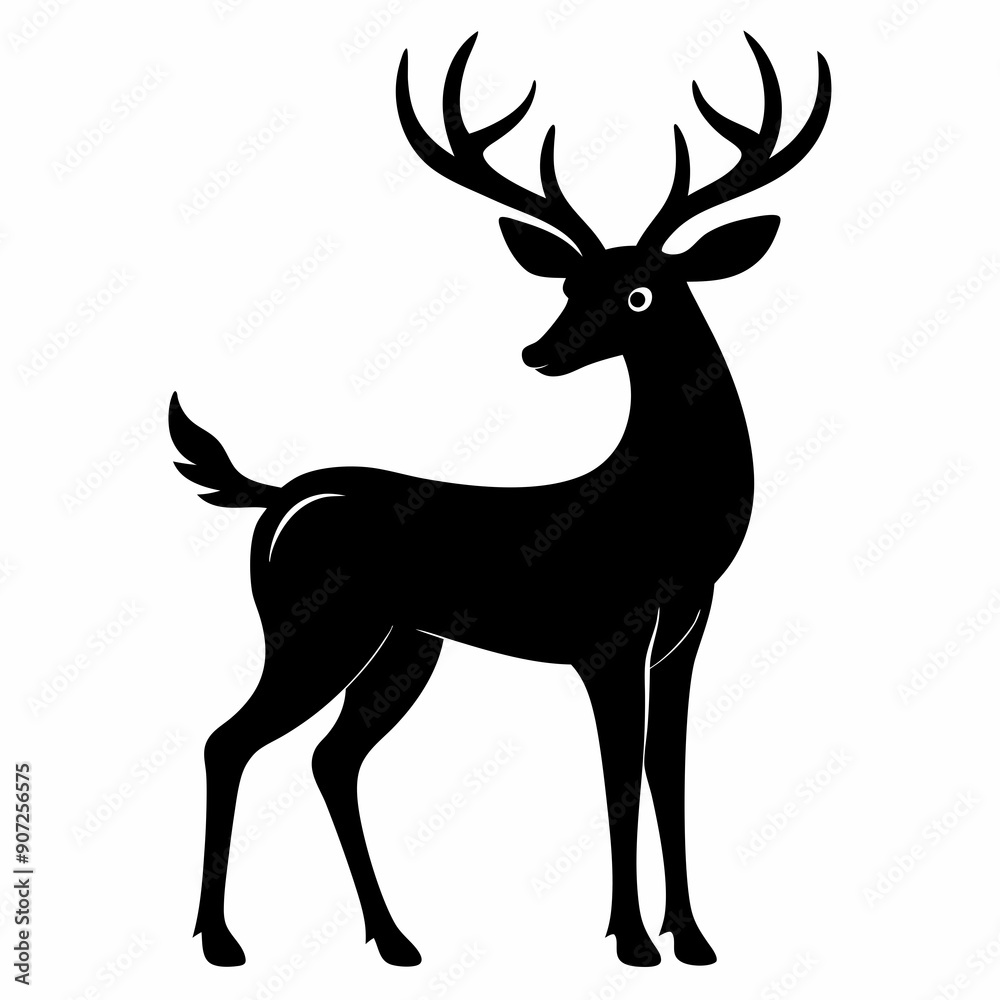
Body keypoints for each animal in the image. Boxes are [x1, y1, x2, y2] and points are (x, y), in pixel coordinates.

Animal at [171, 31, 830, 970]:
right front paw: (633, 941)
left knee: (332, 759)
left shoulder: (685, 633)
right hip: (314, 628)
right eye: (567, 285)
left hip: (405, 644)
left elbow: (669, 774)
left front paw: (695, 940)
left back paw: (394, 939)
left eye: (640, 292)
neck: (666, 514)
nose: (539, 353)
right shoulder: (605, 638)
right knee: (228, 740)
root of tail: (281, 497)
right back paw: (223, 942)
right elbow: (619, 780)